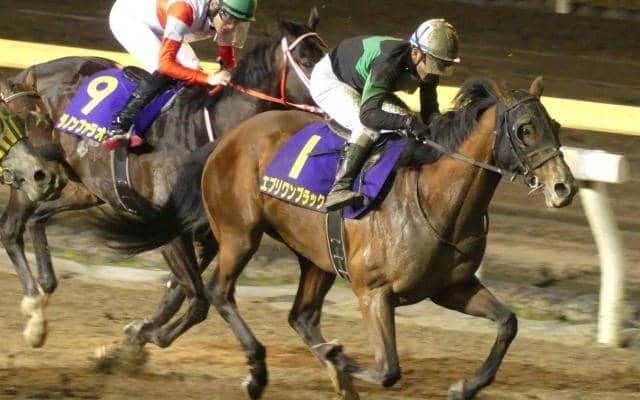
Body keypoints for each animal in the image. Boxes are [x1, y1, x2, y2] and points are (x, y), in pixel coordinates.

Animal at [1, 8, 326, 351]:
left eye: (326, 53)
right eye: (306, 59)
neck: (205, 131)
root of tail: (35, 70)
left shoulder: (209, 235)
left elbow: (179, 292)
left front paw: (138, 334)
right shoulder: (171, 230)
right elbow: (197, 300)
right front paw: (141, 339)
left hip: (85, 187)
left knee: (37, 218)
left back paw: (45, 287)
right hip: (37, 171)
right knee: (11, 228)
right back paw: (34, 312)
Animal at [110, 76, 576, 398]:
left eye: (554, 124)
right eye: (525, 129)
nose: (563, 188)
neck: (435, 199)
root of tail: (229, 138)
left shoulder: (452, 287)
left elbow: (508, 323)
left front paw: (465, 386)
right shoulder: (375, 292)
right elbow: (388, 369)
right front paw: (338, 361)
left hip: (317, 256)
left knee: (298, 315)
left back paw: (145, 338)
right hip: (240, 233)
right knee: (217, 292)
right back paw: (256, 371)